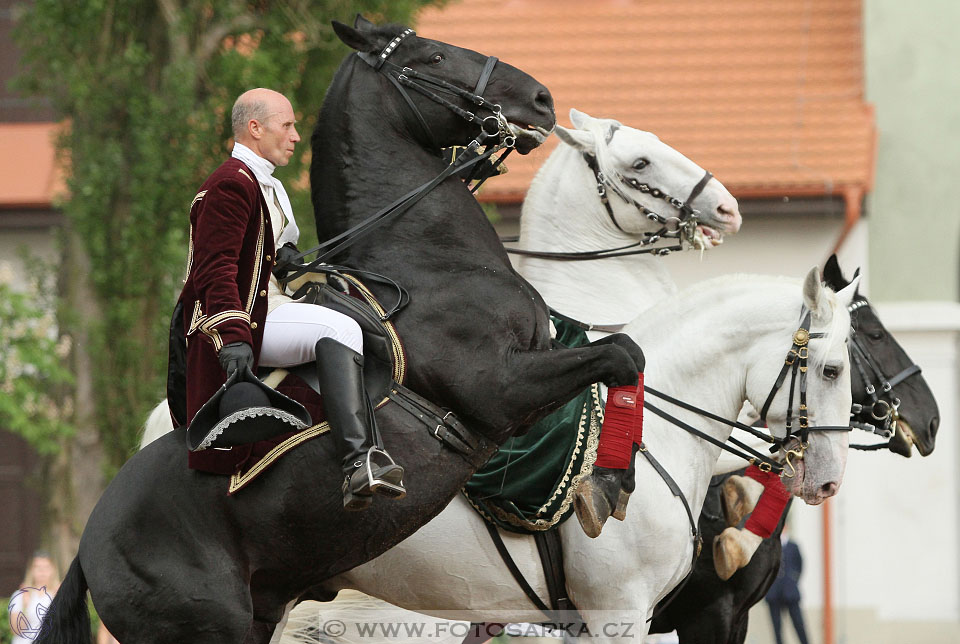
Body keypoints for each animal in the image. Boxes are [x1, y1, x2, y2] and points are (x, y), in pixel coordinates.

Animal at [35, 15, 644, 644]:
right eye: (431, 57)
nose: (541, 99)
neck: (427, 259)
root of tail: (85, 549)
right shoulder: (499, 388)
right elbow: (622, 353)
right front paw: (606, 483)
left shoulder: (533, 373)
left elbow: (626, 351)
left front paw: (608, 483)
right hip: (211, 625)